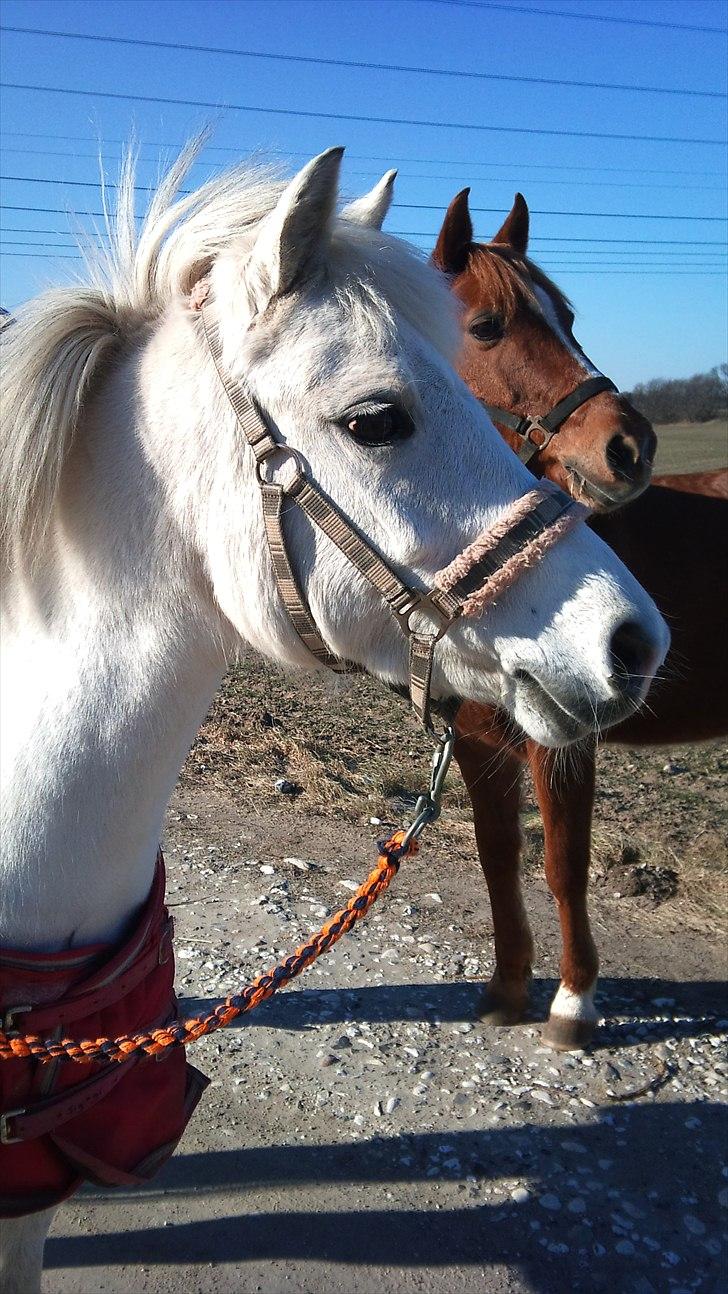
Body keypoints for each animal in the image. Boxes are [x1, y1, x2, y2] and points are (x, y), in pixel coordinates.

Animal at [431, 188, 728, 1050]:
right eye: (487, 325)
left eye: (568, 315)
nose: (630, 447)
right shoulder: (477, 739)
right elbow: (499, 857)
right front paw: (506, 988)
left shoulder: (564, 742)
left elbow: (564, 864)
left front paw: (572, 1001)